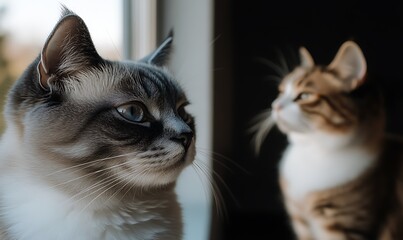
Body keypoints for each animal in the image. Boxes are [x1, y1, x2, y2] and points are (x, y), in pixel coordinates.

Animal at [256, 40, 403, 239]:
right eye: (280, 92)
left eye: (304, 96)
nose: (275, 105)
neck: (312, 150)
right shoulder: (302, 224)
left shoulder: (345, 227)